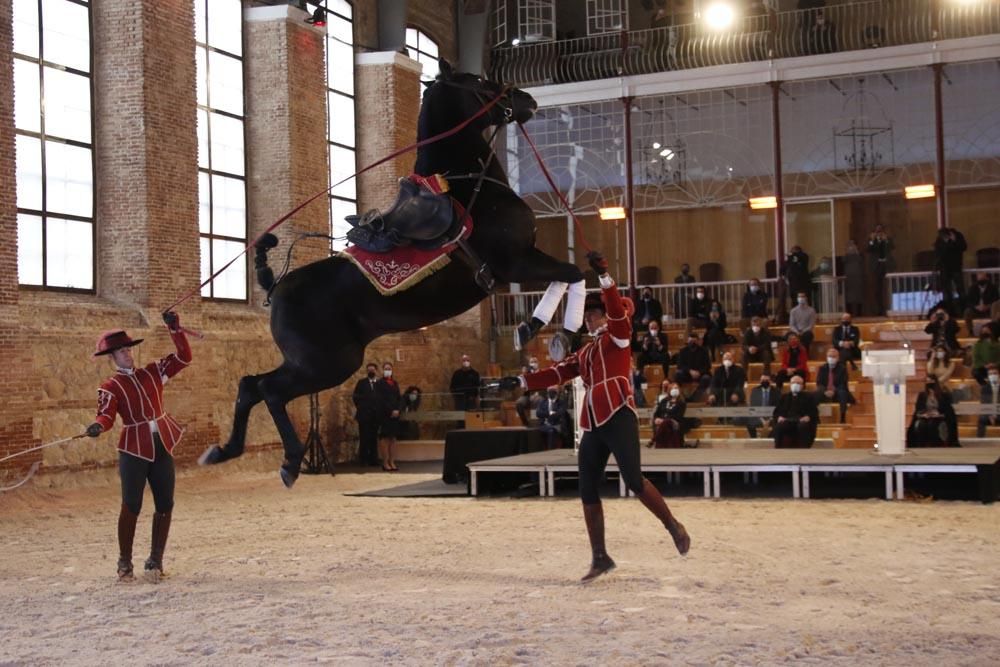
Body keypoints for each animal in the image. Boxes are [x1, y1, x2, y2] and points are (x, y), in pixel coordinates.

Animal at [199, 60, 584, 486]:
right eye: (481, 82)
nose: (525, 98)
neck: (471, 187)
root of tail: (278, 286)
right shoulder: (517, 262)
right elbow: (575, 273)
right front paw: (553, 332)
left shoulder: (517, 265)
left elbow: (568, 276)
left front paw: (537, 329)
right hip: (327, 364)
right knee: (269, 390)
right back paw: (289, 460)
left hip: (307, 361)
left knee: (250, 386)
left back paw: (225, 450)